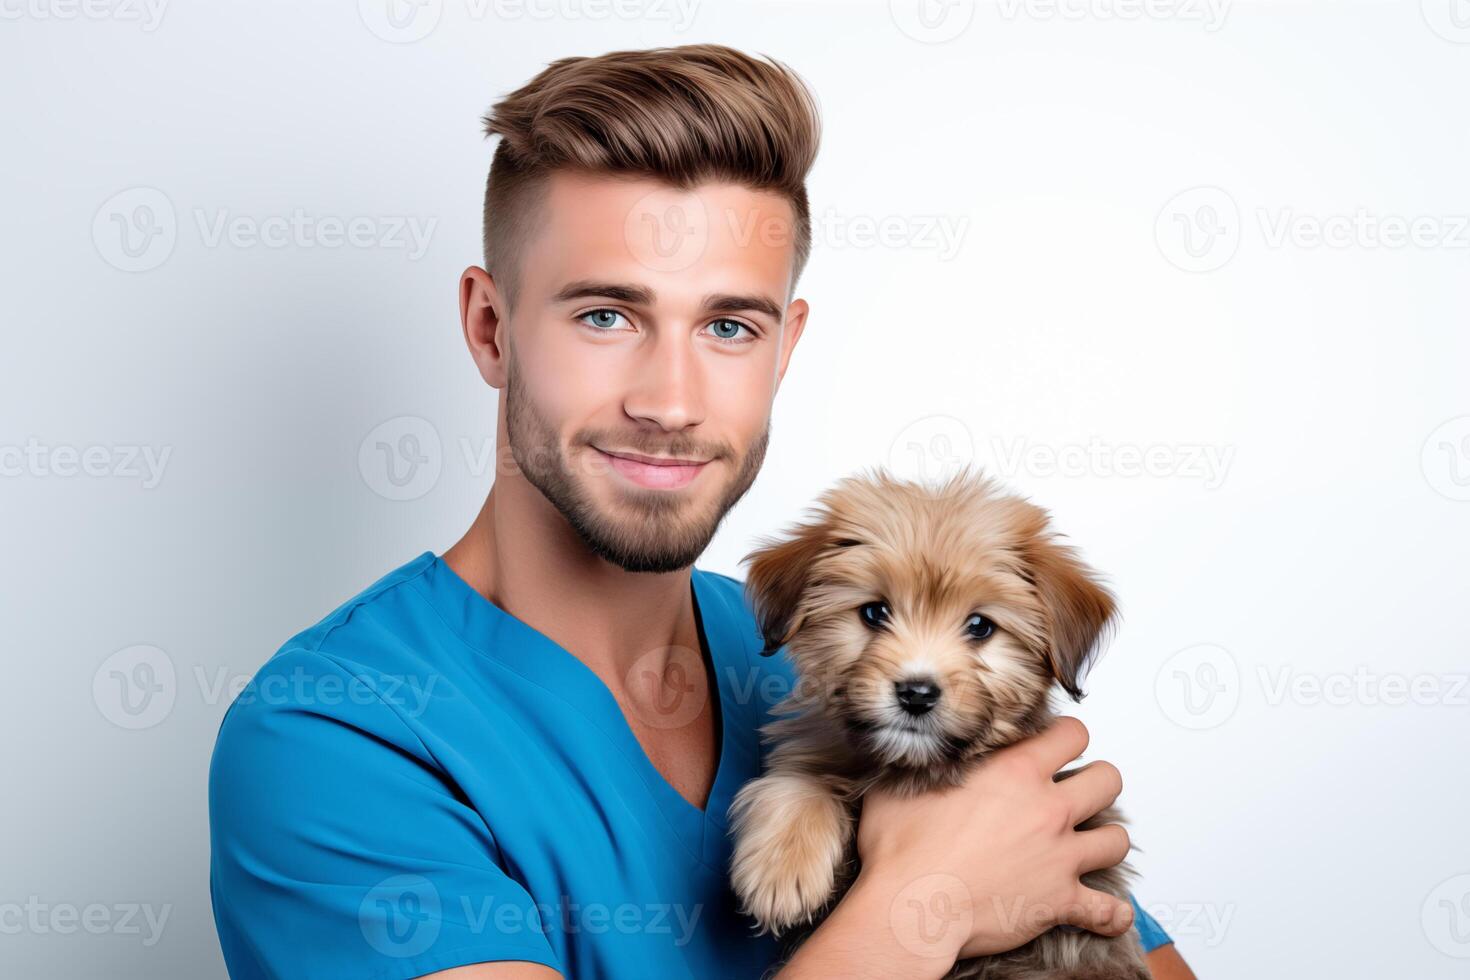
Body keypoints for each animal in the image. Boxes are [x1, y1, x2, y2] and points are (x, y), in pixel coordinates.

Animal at [726, 467, 1146, 980]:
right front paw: (784, 866)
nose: (916, 693)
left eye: (980, 626)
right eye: (875, 612)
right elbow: (797, 780)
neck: (912, 766)